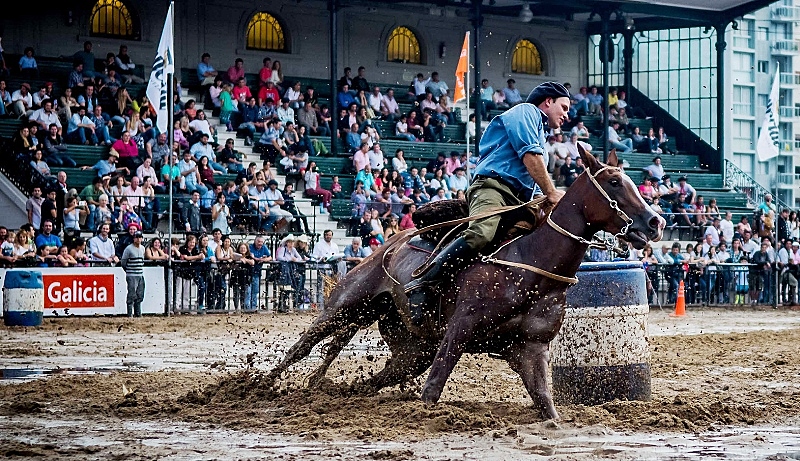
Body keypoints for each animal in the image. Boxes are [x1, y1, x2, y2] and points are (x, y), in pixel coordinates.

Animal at [266, 146, 664, 418]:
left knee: (373, 379)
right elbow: (433, 389)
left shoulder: (531, 348)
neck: (529, 263)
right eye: (614, 181)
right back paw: (260, 386)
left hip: (412, 350)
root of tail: (388, 245)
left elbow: (547, 405)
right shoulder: (459, 329)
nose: (655, 222)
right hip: (346, 304)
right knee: (302, 347)